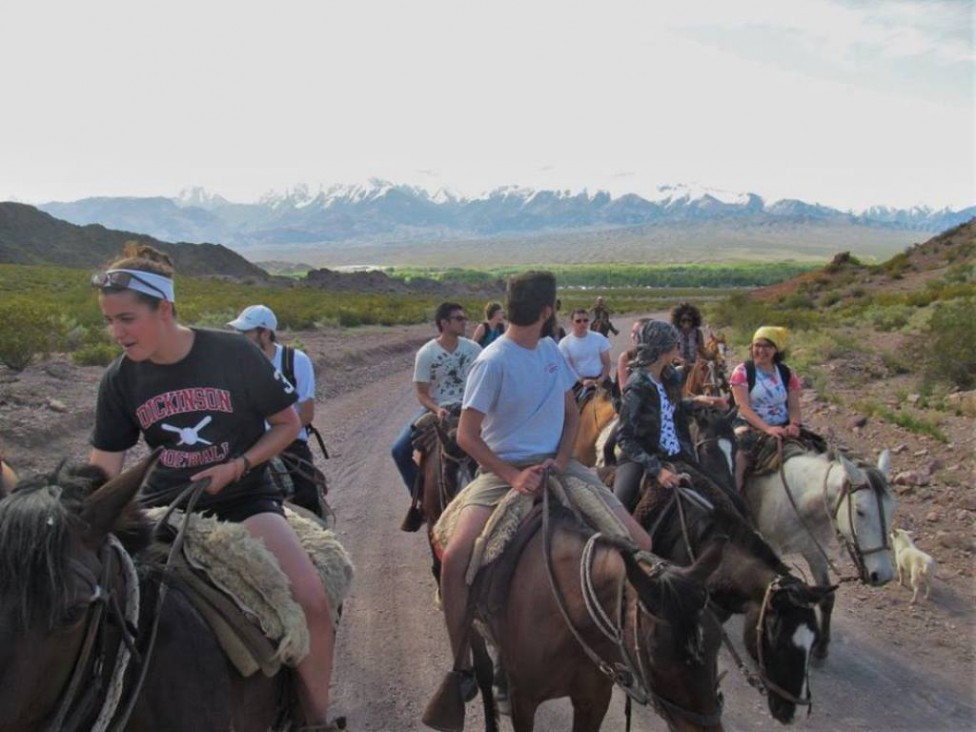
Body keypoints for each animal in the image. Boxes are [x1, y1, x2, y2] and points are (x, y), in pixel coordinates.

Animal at [748, 448, 900, 660]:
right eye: (859, 511)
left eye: (892, 509)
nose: (884, 574)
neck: (800, 499)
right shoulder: (771, 544)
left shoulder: (814, 551)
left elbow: (828, 598)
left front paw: (821, 646)